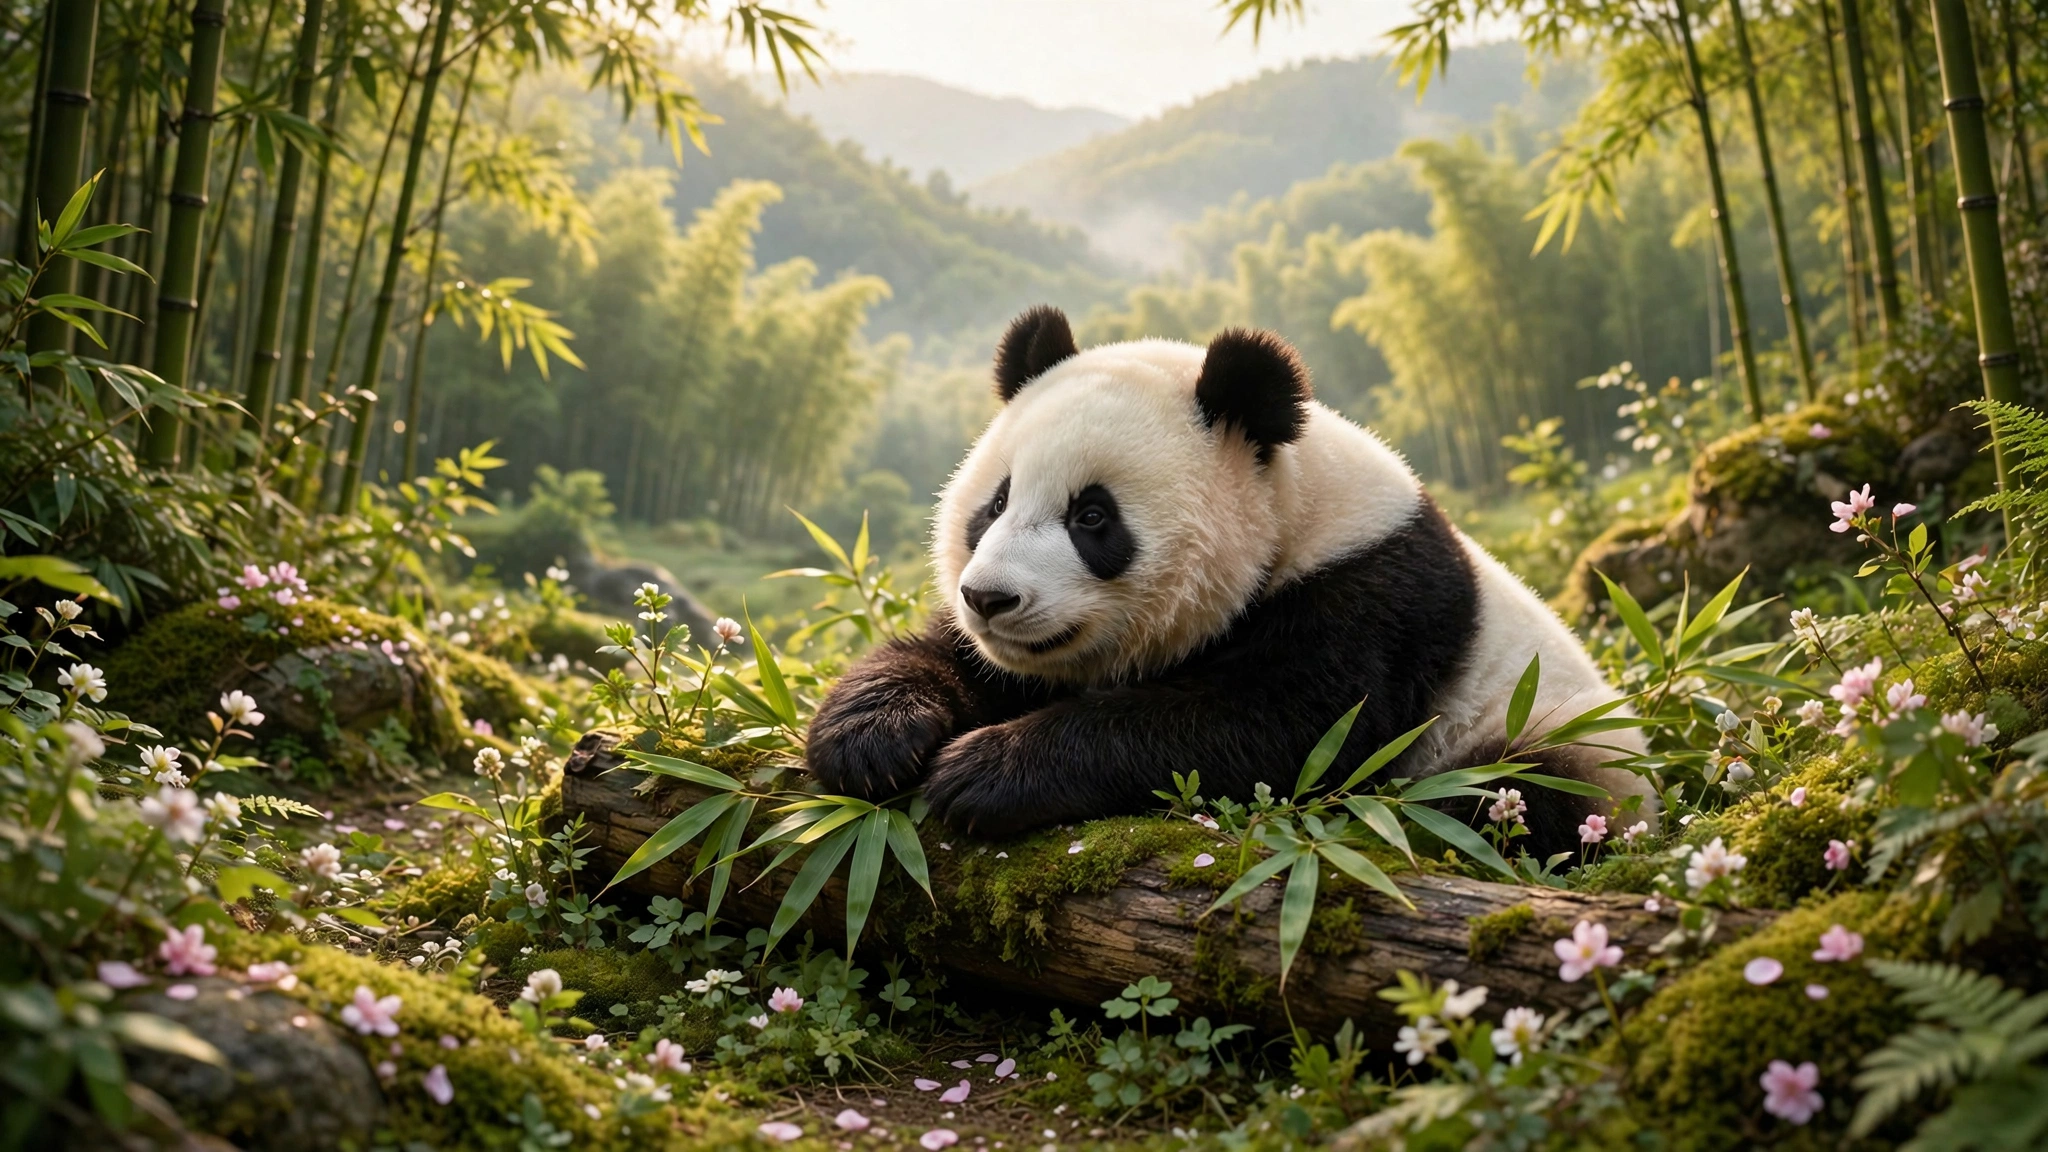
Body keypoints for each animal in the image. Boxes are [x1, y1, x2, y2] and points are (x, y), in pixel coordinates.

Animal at [806, 306, 1652, 854]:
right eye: (996, 503)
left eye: (1092, 517)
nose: (990, 599)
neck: (1294, 515)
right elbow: (952, 659)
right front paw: (867, 737)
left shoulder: (1368, 600)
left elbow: (1270, 731)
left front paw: (984, 772)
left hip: (1560, 733)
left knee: (1522, 795)